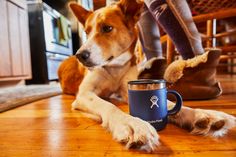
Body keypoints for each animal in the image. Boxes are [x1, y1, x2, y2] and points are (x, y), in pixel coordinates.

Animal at [57, 0, 236, 152]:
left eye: (107, 28)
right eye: (86, 32)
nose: (80, 55)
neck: (115, 68)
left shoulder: (127, 90)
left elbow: (171, 103)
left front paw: (201, 114)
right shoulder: (84, 94)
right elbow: (109, 106)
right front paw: (130, 122)